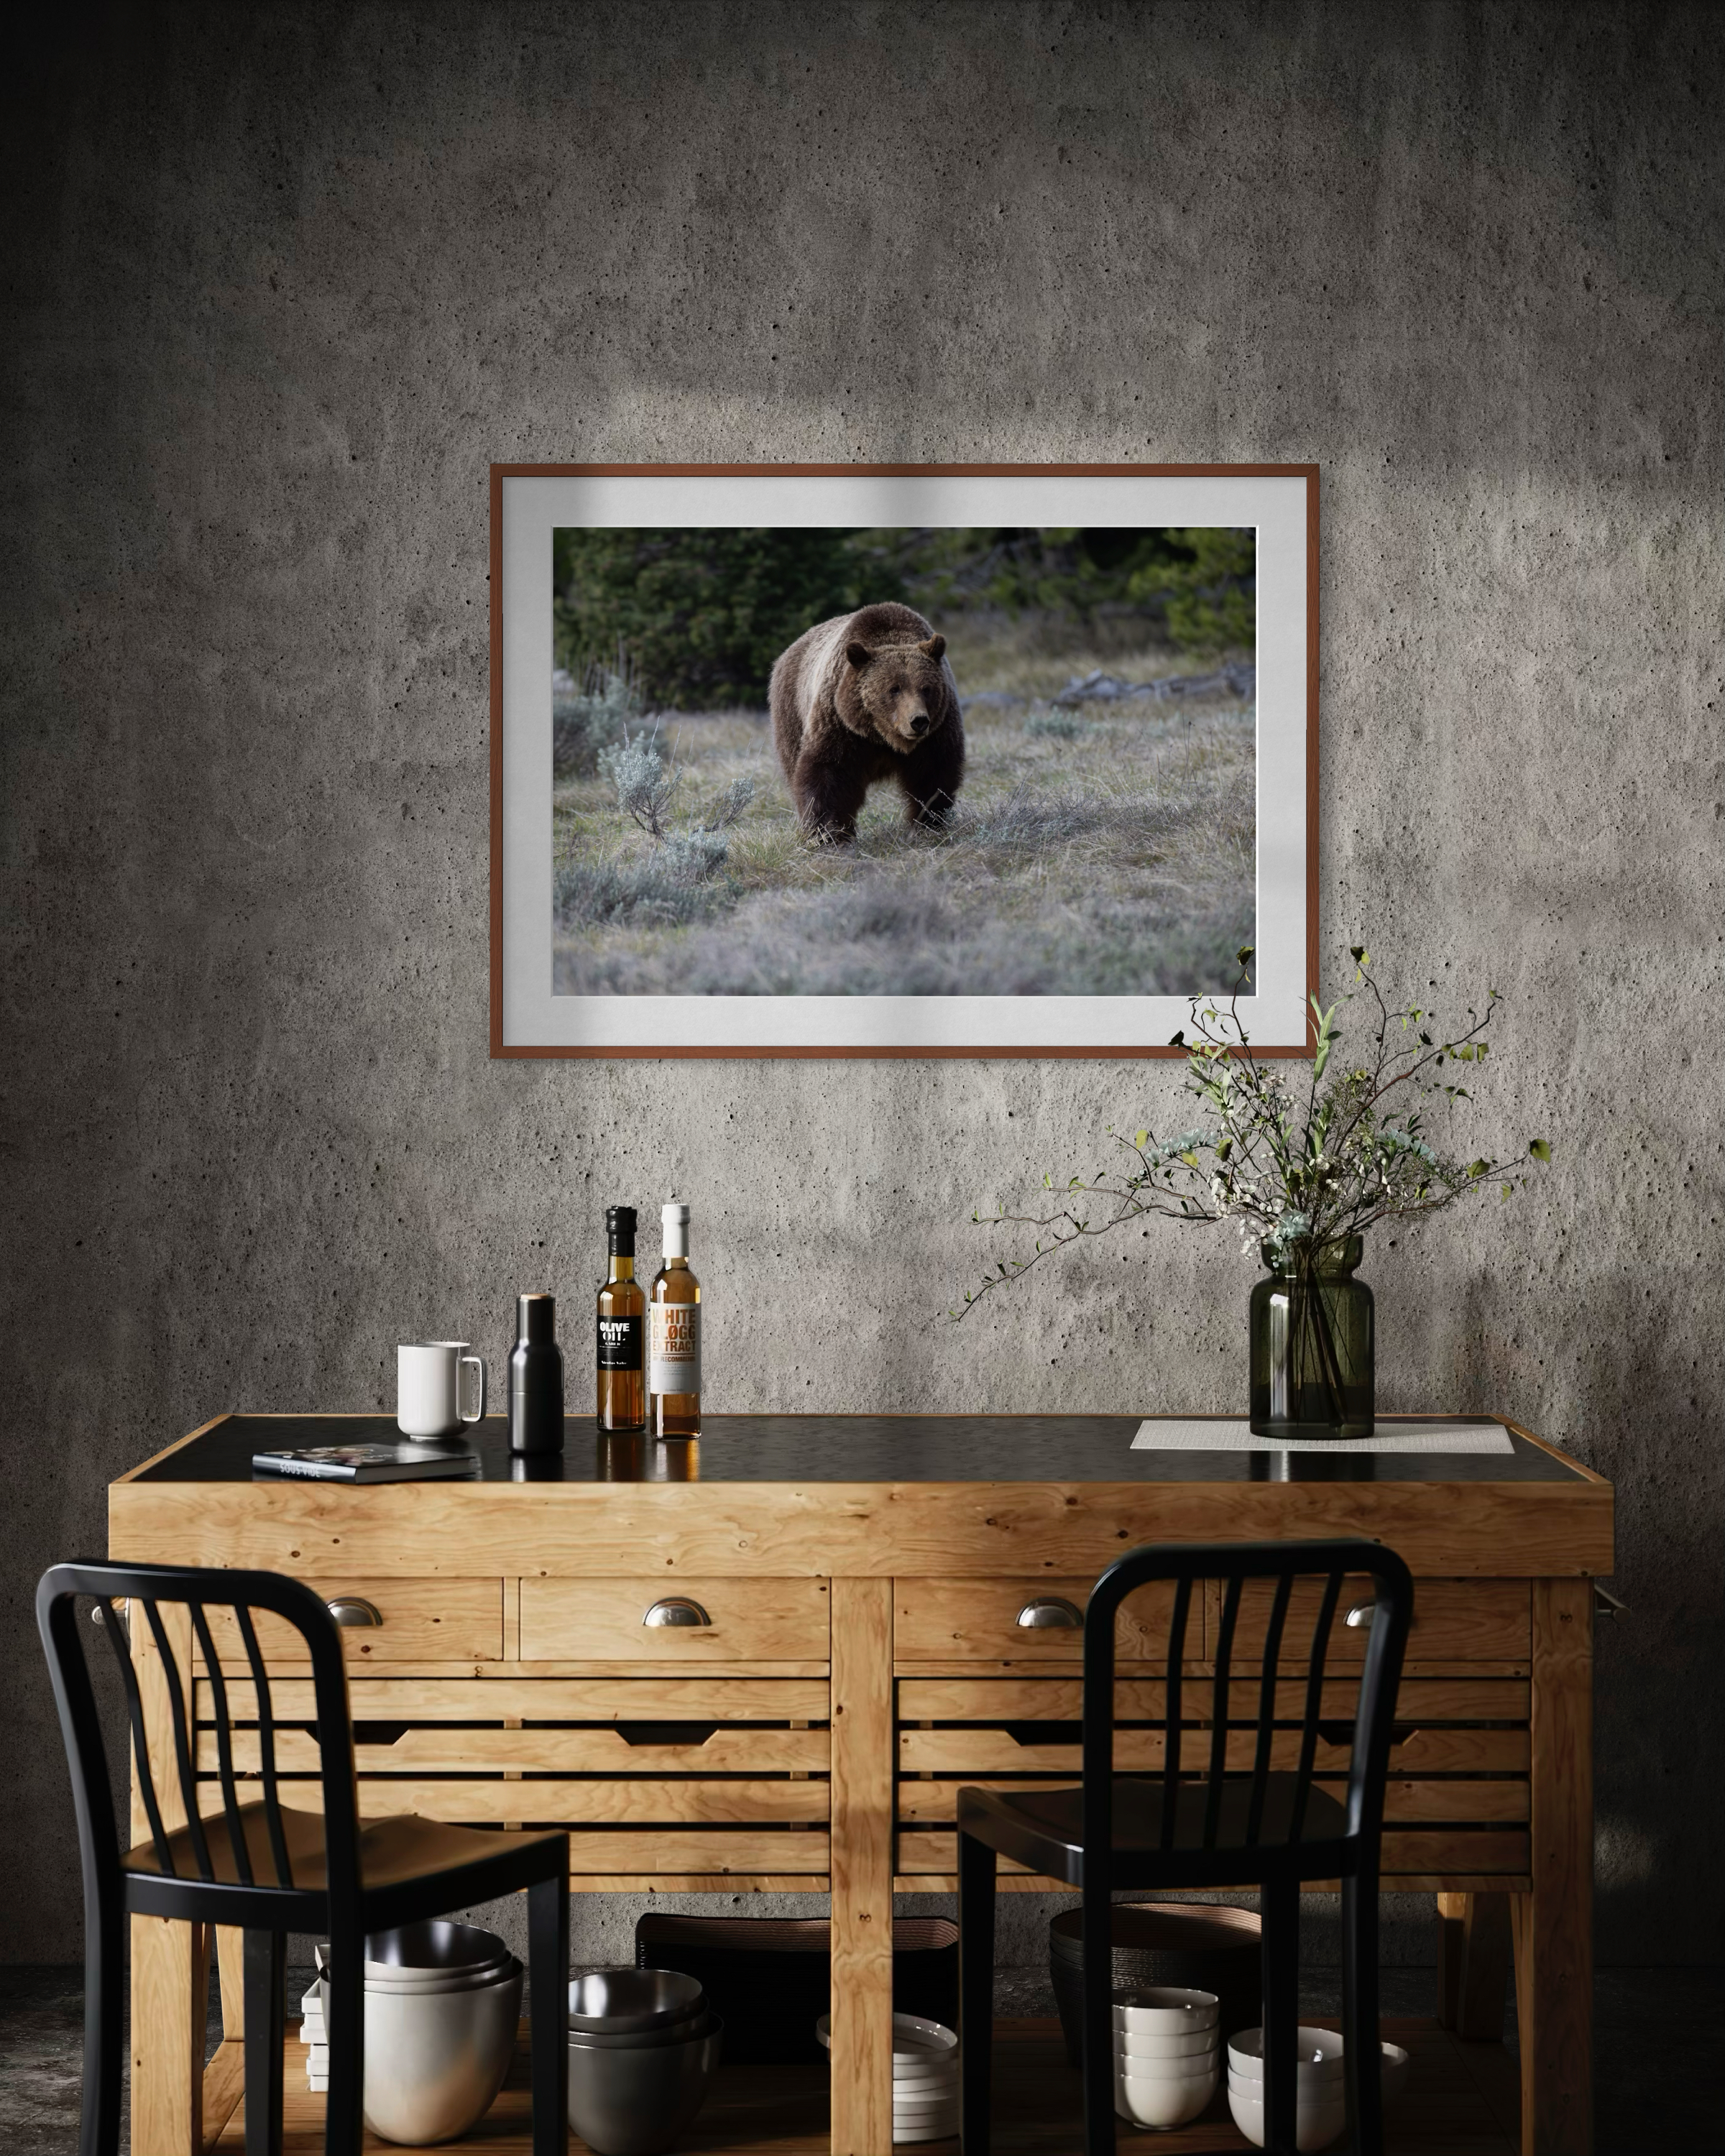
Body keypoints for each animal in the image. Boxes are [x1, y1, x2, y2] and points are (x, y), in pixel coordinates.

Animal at [768, 601, 964, 844]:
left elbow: (933, 775)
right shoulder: (840, 725)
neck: (882, 736)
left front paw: (929, 824)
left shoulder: (937, 730)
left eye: (927, 689)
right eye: (894, 689)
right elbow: (827, 773)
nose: (918, 721)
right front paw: (827, 832)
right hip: (792, 712)